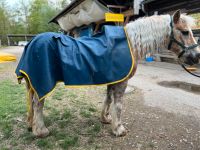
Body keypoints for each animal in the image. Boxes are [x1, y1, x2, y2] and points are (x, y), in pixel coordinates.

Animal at [15, 10, 200, 137]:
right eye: (185, 32)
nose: (197, 57)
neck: (130, 44)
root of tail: (31, 42)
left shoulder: (113, 78)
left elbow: (108, 99)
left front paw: (105, 119)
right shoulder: (121, 81)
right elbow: (118, 105)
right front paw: (119, 129)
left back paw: (32, 126)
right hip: (43, 82)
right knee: (38, 104)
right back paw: (41, 131)